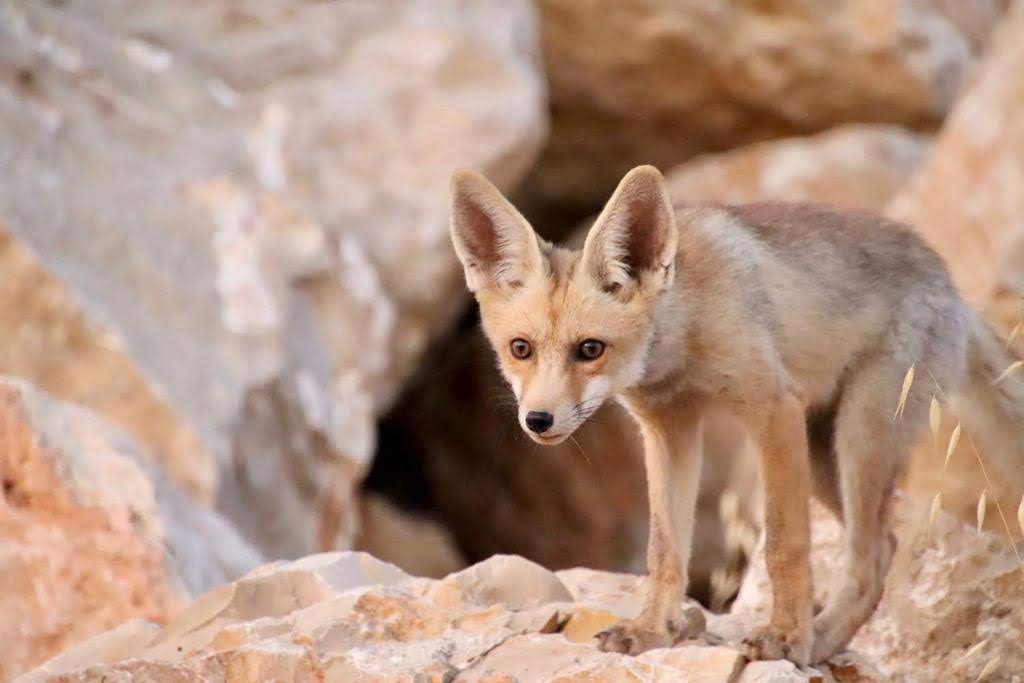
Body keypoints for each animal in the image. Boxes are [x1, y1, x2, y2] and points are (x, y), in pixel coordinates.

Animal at [446, 162, 1024, 663]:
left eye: (590, 349)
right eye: (520, 349)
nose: (538, 421)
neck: (685, 332)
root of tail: (952, 288)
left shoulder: (772, 409)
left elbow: (785, 546)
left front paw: (783, 637)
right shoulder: (668, 428)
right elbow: (664, 551)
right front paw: (652, 630)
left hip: (860, 437)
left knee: (869, 559)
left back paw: (813, 640)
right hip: (825, 459)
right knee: (886, 548)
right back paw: (826, 640)